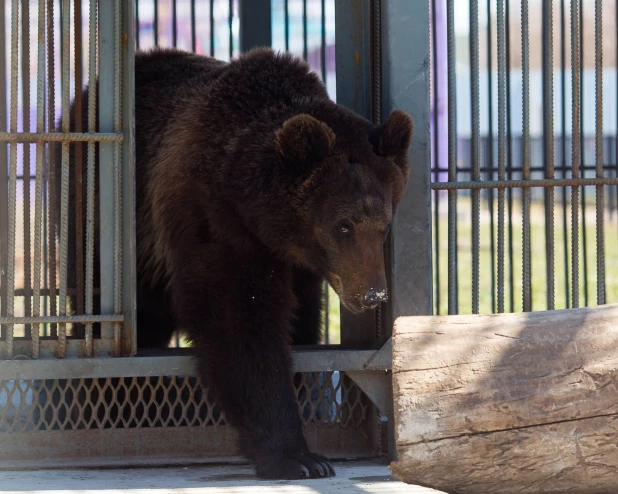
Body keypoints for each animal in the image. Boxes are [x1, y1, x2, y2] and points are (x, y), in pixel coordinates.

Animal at [59, 46, 414, 478]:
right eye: (342, 225)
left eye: (384, 225)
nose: (373, 294)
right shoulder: (212, 217)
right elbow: (240, 324)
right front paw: (298, 456)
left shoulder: (301, 268)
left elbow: (300, 322)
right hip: (101, 210)